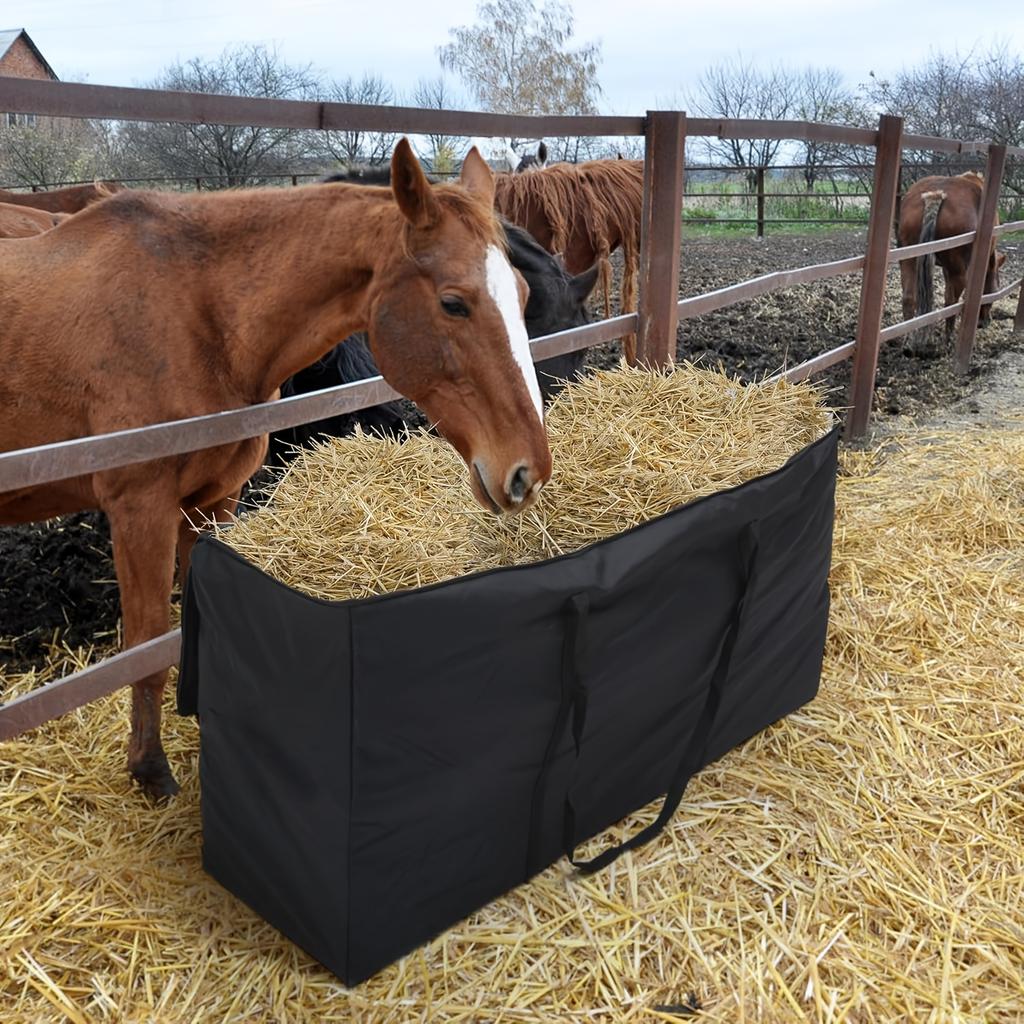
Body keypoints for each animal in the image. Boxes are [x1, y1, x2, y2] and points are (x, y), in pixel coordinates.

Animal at [0, 140, 550, 798]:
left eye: (522, 296)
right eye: (453, 303)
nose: (528, 470)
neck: (196, 312)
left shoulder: (212, 501)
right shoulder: (139, 509)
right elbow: (147, 643)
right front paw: (151, 771)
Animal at [897, 171, 1007, 343]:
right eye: (996, 288)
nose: (984, 322)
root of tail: (936, 195)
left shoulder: (946, 269)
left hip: (909, 261)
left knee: (909, 298)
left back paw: (909, 339)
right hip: (958, 273)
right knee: (950, 301)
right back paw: (948, 339)